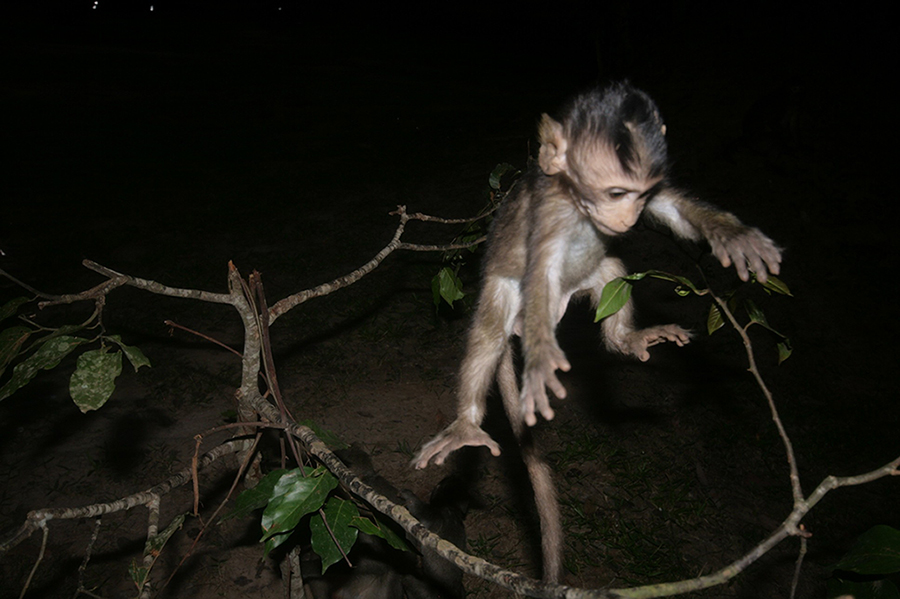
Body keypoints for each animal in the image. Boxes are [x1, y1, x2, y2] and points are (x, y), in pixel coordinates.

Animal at [414, 83, 780, 580]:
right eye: (615, 191)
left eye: (639, 194)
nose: (626, 218)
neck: (578, 204)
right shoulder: (549, 214)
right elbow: (540, 267)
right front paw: (540, 365)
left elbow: (673, 208)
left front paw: (732, 235)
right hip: (503, 292)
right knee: (490, 335)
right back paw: (466, 424)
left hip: (591, 281)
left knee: (612, 272)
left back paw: (626, 339)